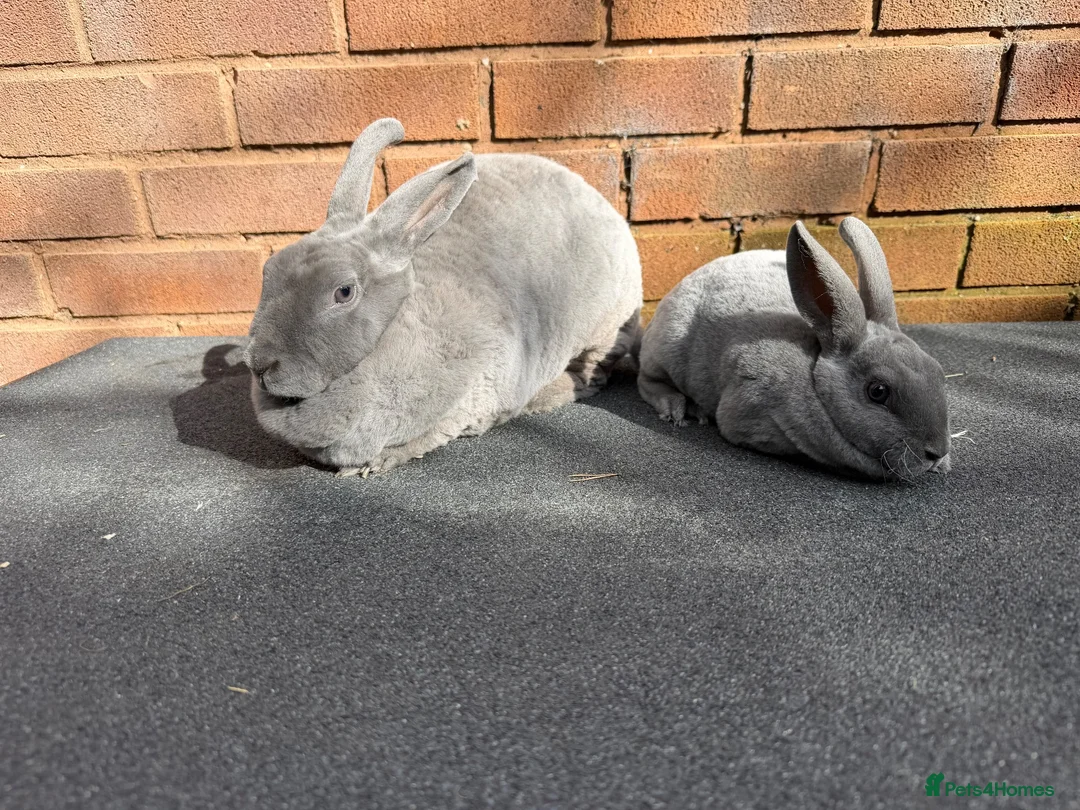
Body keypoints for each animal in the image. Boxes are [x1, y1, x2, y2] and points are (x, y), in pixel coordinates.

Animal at [243, 118, 642, 476]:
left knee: (590, 375)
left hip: (604, 329)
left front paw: (373, 464)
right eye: (268, 270)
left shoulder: (471, 398)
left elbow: (428, 435)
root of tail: (604, 205)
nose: (259, 365)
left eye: (343, 292)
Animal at [637, 217, 951, 481]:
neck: (814, 378)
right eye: (878, 391)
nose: (937, 452)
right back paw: (680, 408)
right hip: (666, 347)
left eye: (938, 373)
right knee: (647, 380)